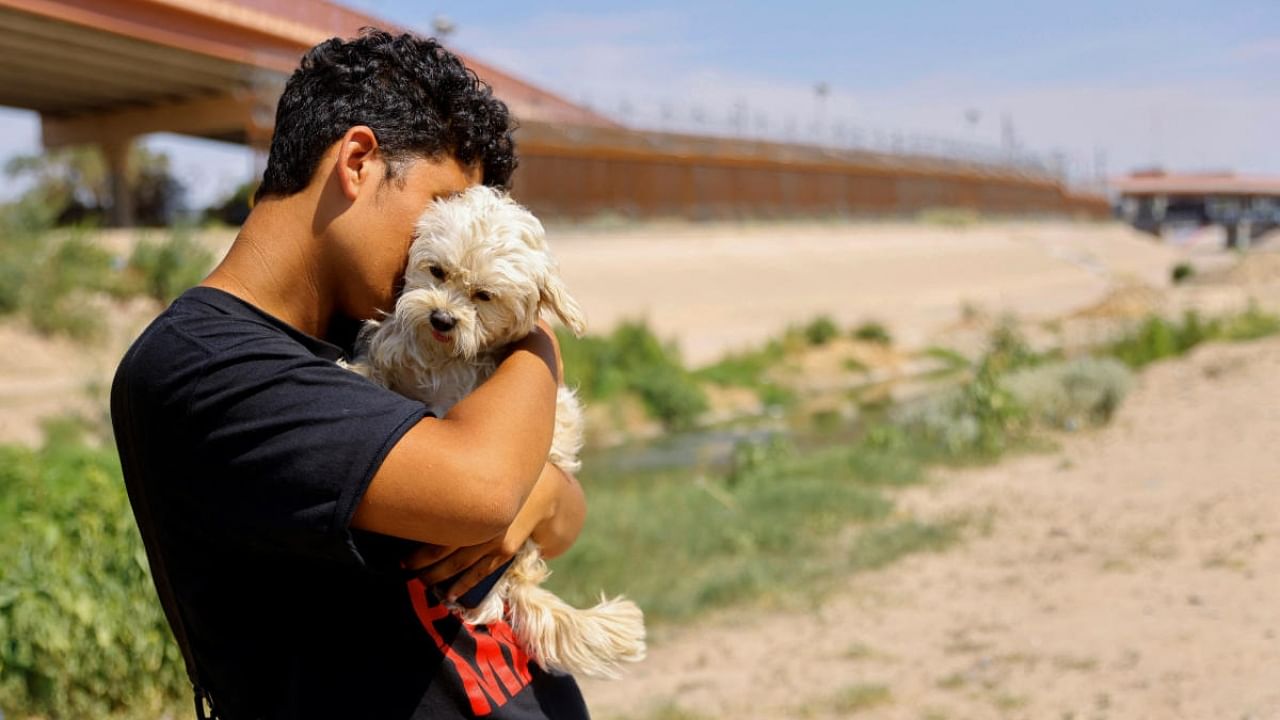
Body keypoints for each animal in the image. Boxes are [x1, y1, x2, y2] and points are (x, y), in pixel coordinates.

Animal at [350, 184, 645, 676]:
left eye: (483, 295)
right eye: (437, 271)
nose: (442, 318)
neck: (444, 358)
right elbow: (383, 359)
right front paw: (354, 370)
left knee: (493, 599)